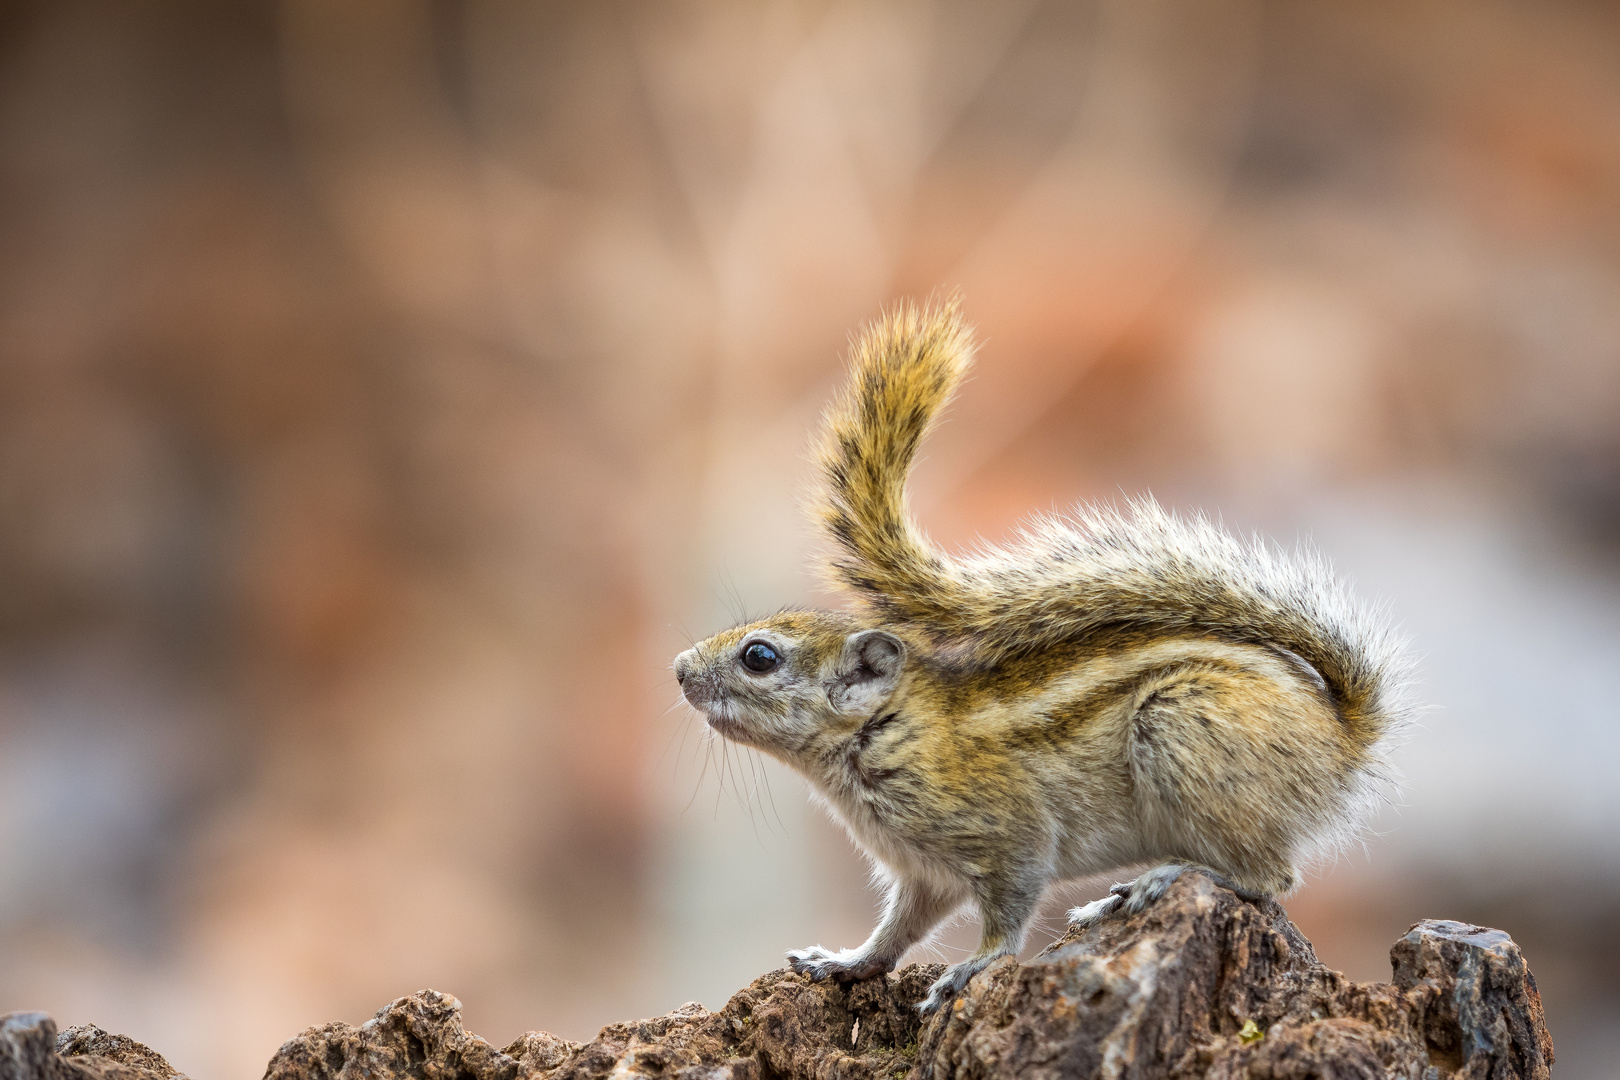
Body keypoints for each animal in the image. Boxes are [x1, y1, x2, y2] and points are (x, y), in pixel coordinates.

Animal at [670, 297, 1406, 1016]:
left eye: (759, 657)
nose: (678, 670)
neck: (888, 732)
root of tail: (1343, 739)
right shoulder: (922, 871)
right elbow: (899, 928)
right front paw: (847, 962)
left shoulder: (1006, 834)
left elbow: (1009, 907)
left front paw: (973, 967)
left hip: (1181, 726)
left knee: (1269, 876)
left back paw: (1166, 878)